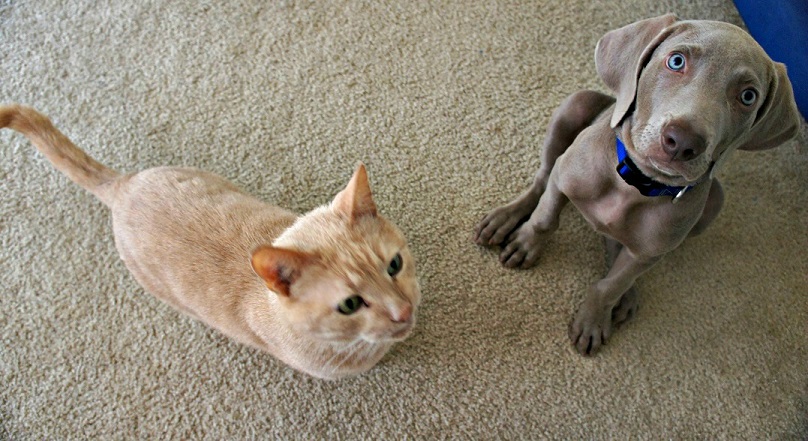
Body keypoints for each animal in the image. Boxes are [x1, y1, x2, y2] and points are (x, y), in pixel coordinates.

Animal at [474, 13, 800, 356]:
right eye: (676, 61)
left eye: (748, 96)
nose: (683, 142)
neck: (635, 183)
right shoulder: (564, 179)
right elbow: (544, 218)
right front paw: (526, 244)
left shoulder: (650, 251)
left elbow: (612, 284)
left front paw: (593, 318)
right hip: (576, 105)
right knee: (542, 177)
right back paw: (504, 219)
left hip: (714, 201)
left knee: (619, 248)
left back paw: (625, 294)